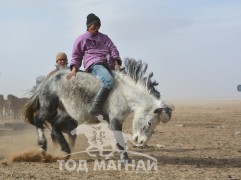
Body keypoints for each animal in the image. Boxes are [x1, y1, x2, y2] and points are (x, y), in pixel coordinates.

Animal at [23, 58, 173, 162]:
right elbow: (119, 140)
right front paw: (126, 160)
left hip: (67, 114)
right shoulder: (115, 120)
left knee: (56, 128)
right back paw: (43, 146)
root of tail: (46, 81)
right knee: (39, 120)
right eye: (150, 122)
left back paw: (64, 151)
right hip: (50, 106)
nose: (141, 142)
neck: (123, 92)